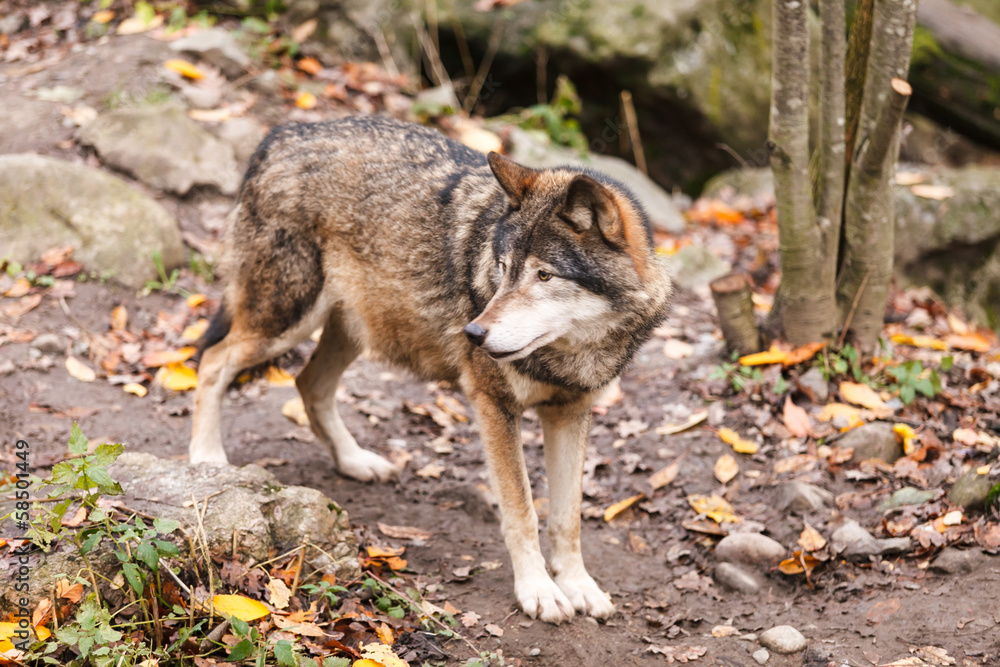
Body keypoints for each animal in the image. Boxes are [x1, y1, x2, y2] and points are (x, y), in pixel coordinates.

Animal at [190, 115, 672, 623]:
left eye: (544, 275)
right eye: (502, 268)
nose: (473, 333)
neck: (571, 353)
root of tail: (281, 134)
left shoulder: (572, 412)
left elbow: (567, 517)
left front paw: (578, 586)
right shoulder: (494, 405)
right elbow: (522, 510)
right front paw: (539, 591)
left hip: (353, 330)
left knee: (308, 384)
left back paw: (356, 461)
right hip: (287, 322)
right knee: (213, 360)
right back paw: (206, 457)